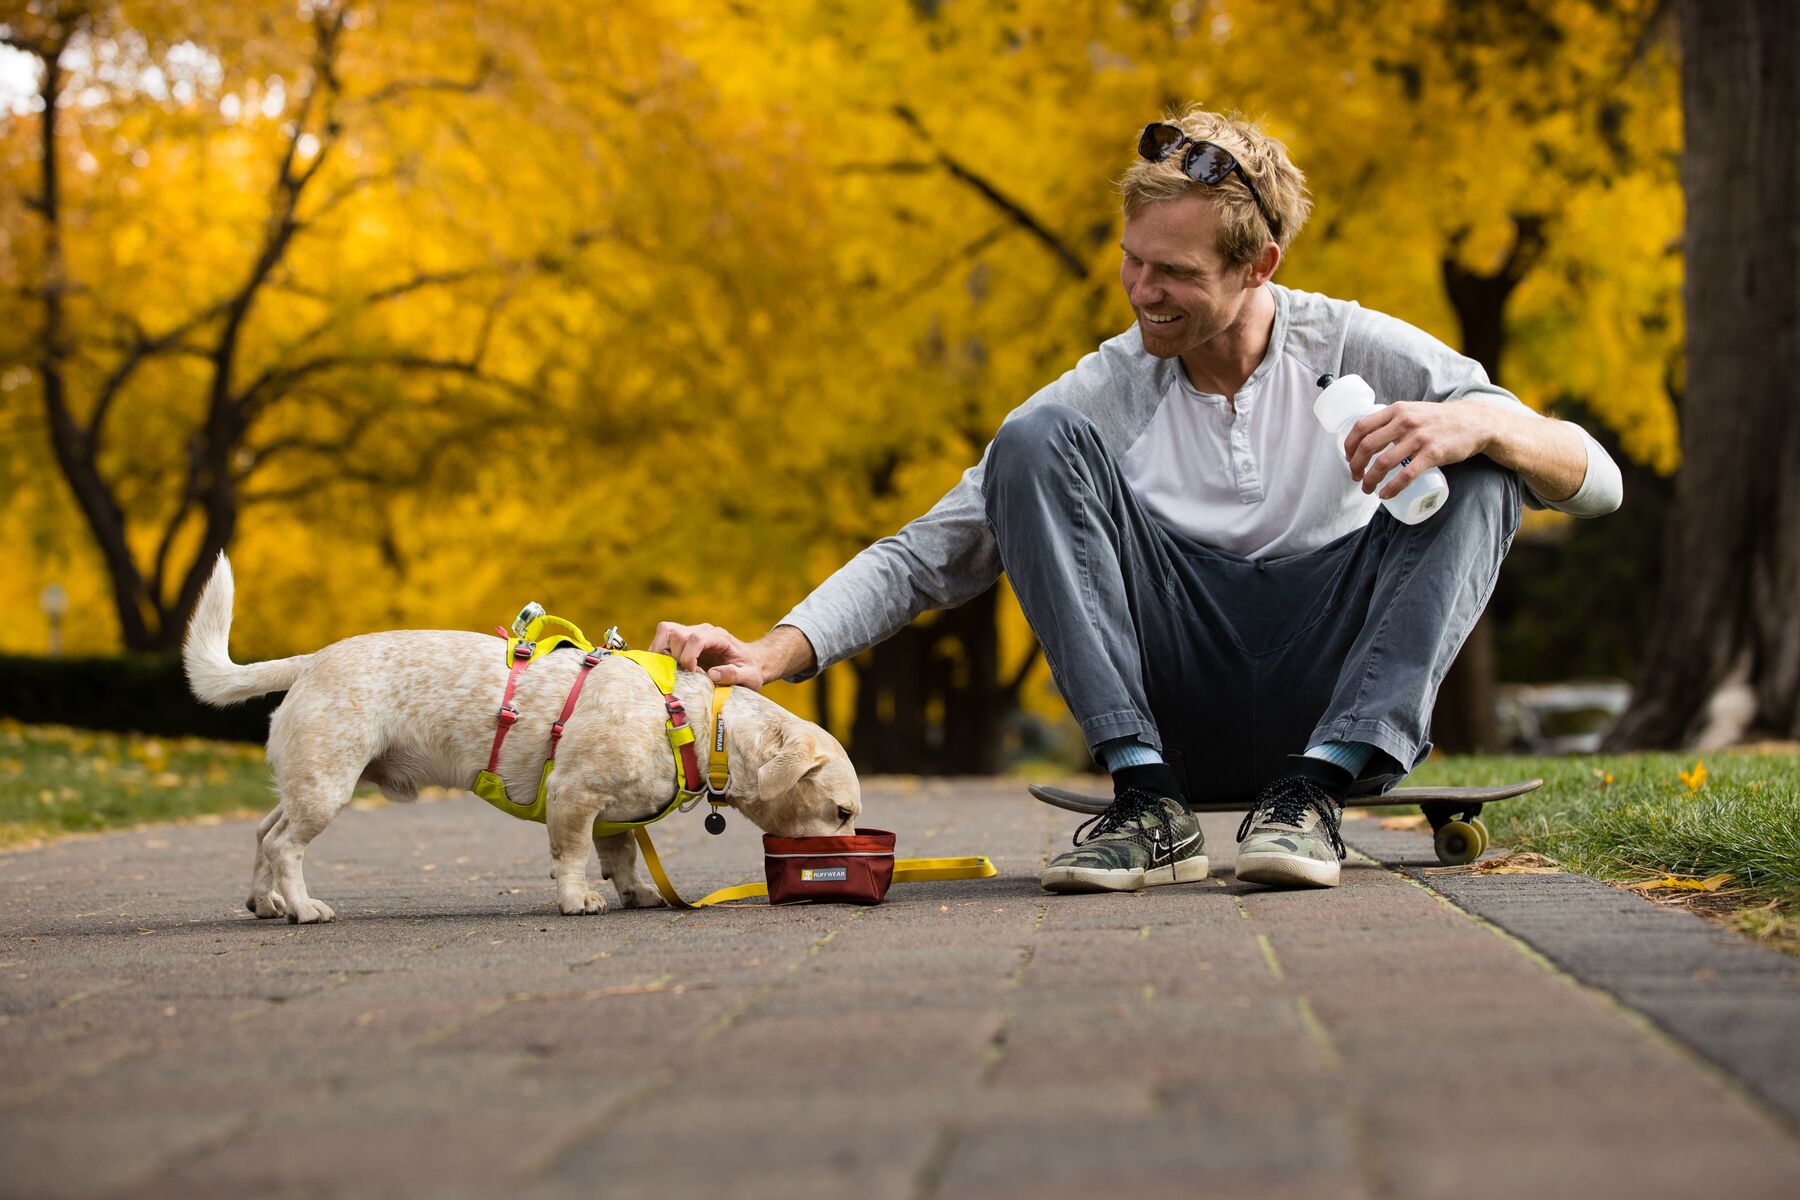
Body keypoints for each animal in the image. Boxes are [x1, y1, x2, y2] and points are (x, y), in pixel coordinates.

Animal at [186, 557, 860, 928]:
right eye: (842, 812)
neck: (694, 720)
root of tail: (310, 661)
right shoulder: (573, 798)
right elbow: (572, 856)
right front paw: (577, 899)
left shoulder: (614, 818)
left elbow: (622, 858)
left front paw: (638, 894)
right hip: (327, 786)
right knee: (285, 846)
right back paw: (303, 907)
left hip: (307, 784)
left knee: (263, 834)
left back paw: (266, 903)